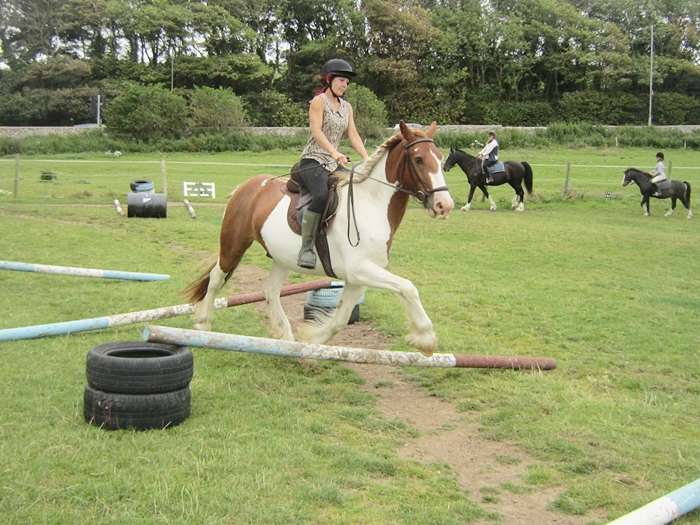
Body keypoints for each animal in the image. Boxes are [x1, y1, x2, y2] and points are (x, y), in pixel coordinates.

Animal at [184, 121, 454, 357]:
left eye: (440, 158)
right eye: (419, 159)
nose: (444, 205)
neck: (371, 204)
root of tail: (247, 186)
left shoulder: (358, 278)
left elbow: (340, 319)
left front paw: (311, 343)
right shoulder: (360, 270)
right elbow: (408, 287)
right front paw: (426, 338)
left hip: (282, 258)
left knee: (270, 290)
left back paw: (285, 337)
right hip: (234, 244)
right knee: (216, 279)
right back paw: (203, 325)